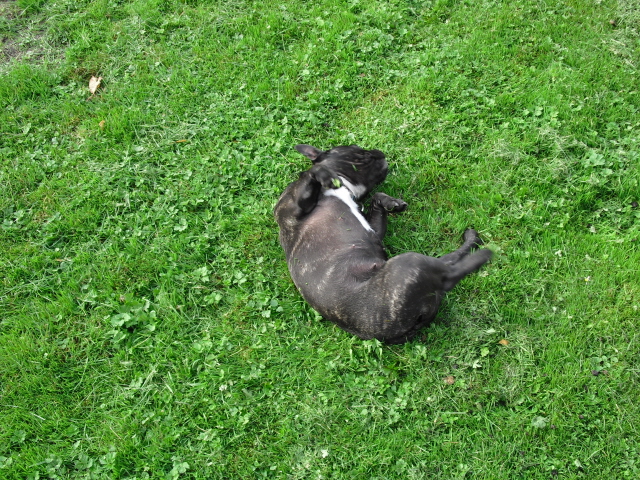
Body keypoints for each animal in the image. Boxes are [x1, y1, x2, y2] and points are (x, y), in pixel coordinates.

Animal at [274, 144, 492, 344]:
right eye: (355, 148)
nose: (377, 151)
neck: (343, 188)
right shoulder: (294, 207)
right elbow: (312, 173)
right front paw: (322, 173)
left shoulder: (374, 231)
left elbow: (377, 198)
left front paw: (391, 203)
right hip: (410, 263)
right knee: (449, 271)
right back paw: (478, 250)